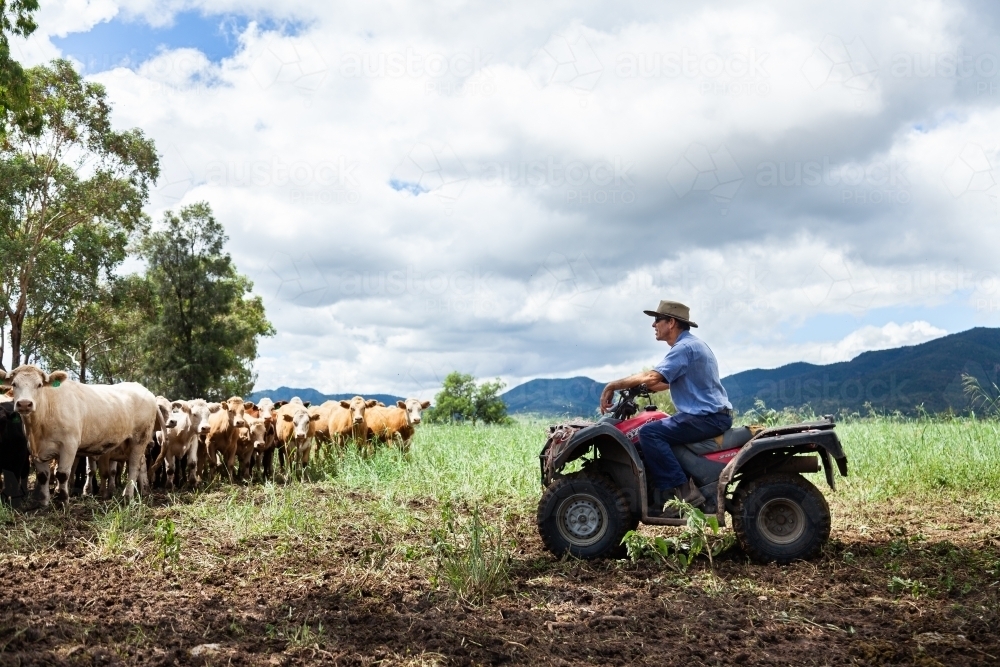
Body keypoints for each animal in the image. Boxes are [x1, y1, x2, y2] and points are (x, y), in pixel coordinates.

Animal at [0, 366, 160, 506]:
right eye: (14, 384)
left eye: (39, 385)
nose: (24, 404)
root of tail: (142, 388)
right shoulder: (35, 451)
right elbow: (43, 476)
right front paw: (44, 503)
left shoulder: (69, 445)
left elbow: (62, 474)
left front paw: (63, 502)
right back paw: (142, 491)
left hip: (140, 439)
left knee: (133, 467)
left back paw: (127, 496)